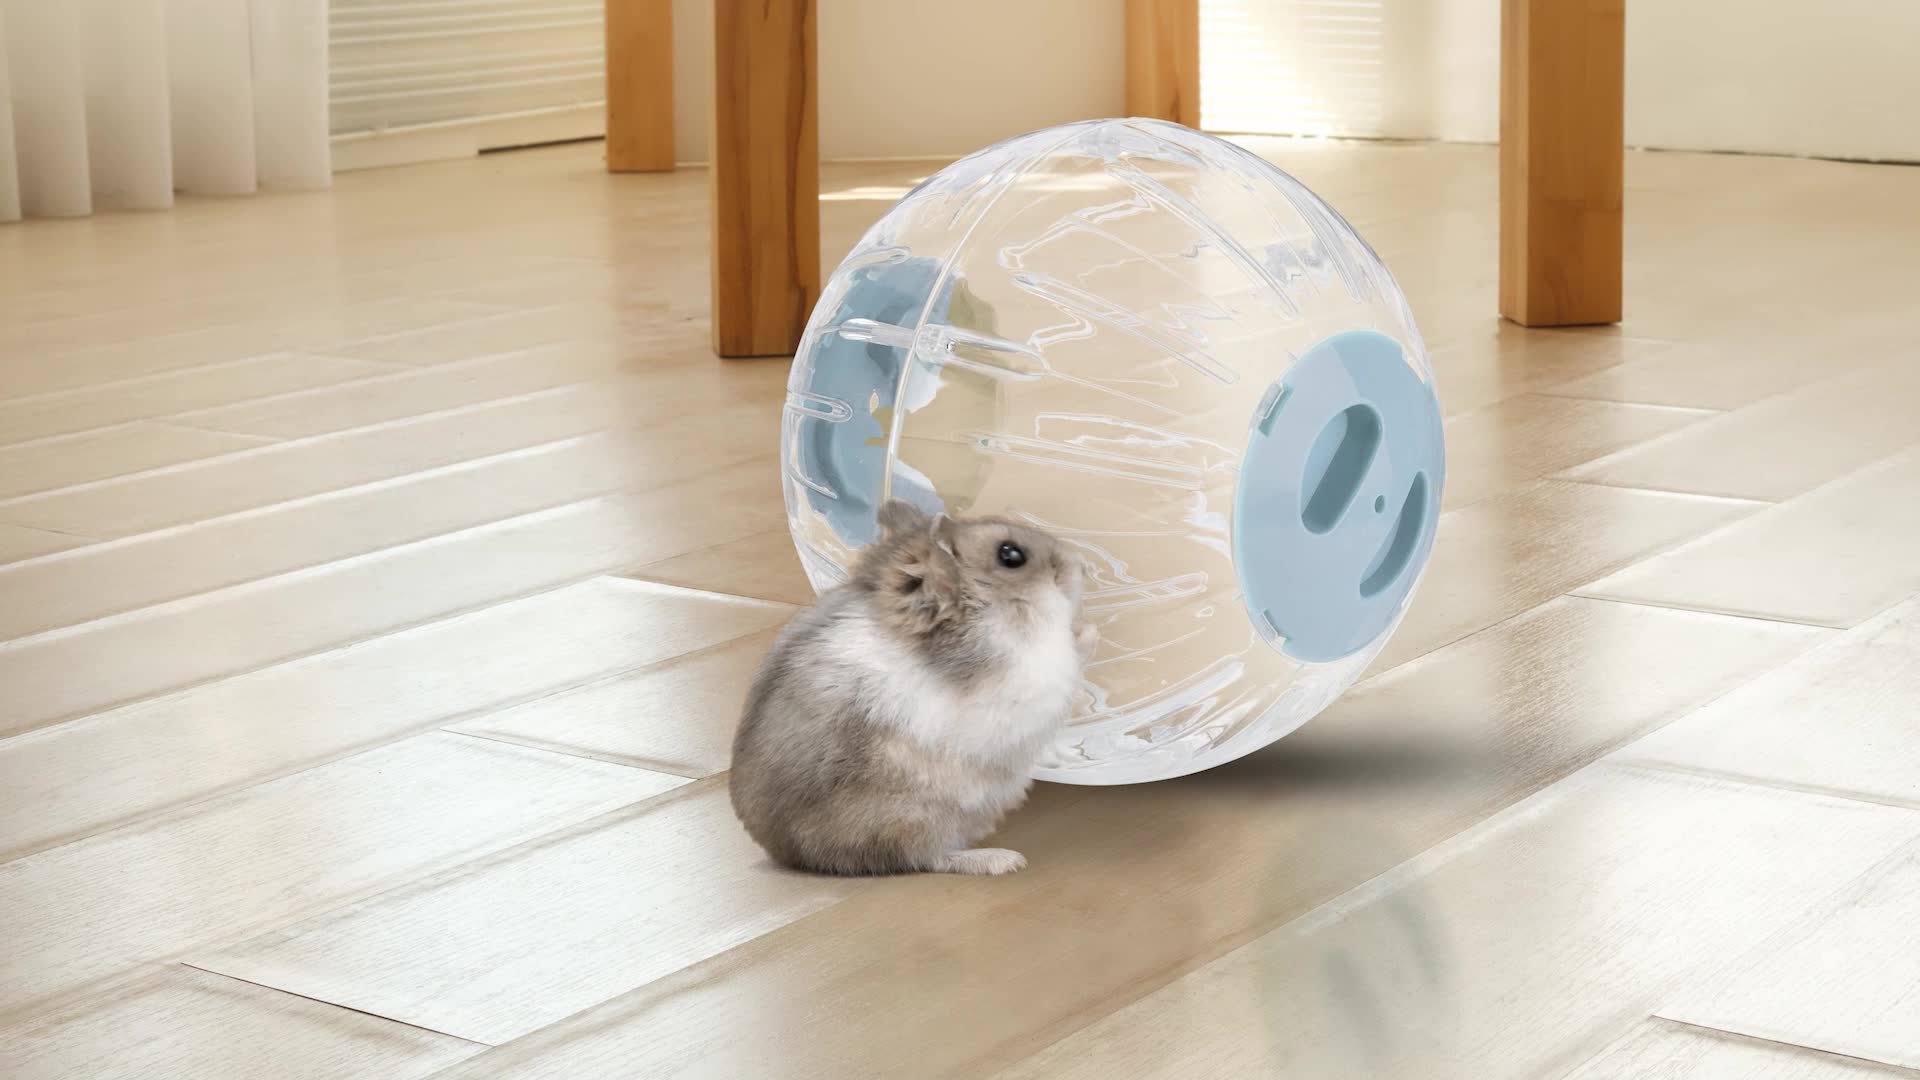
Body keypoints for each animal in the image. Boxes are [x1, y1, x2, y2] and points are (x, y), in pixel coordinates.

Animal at [729, 499, 1096, 876]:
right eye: (1011, 555)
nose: (1082, 565)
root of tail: (788, 854)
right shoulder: (1033, 676)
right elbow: (1071, 654)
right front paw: (1088, 629)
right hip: (914, 818)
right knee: (921, 858)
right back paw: (1004, 860)